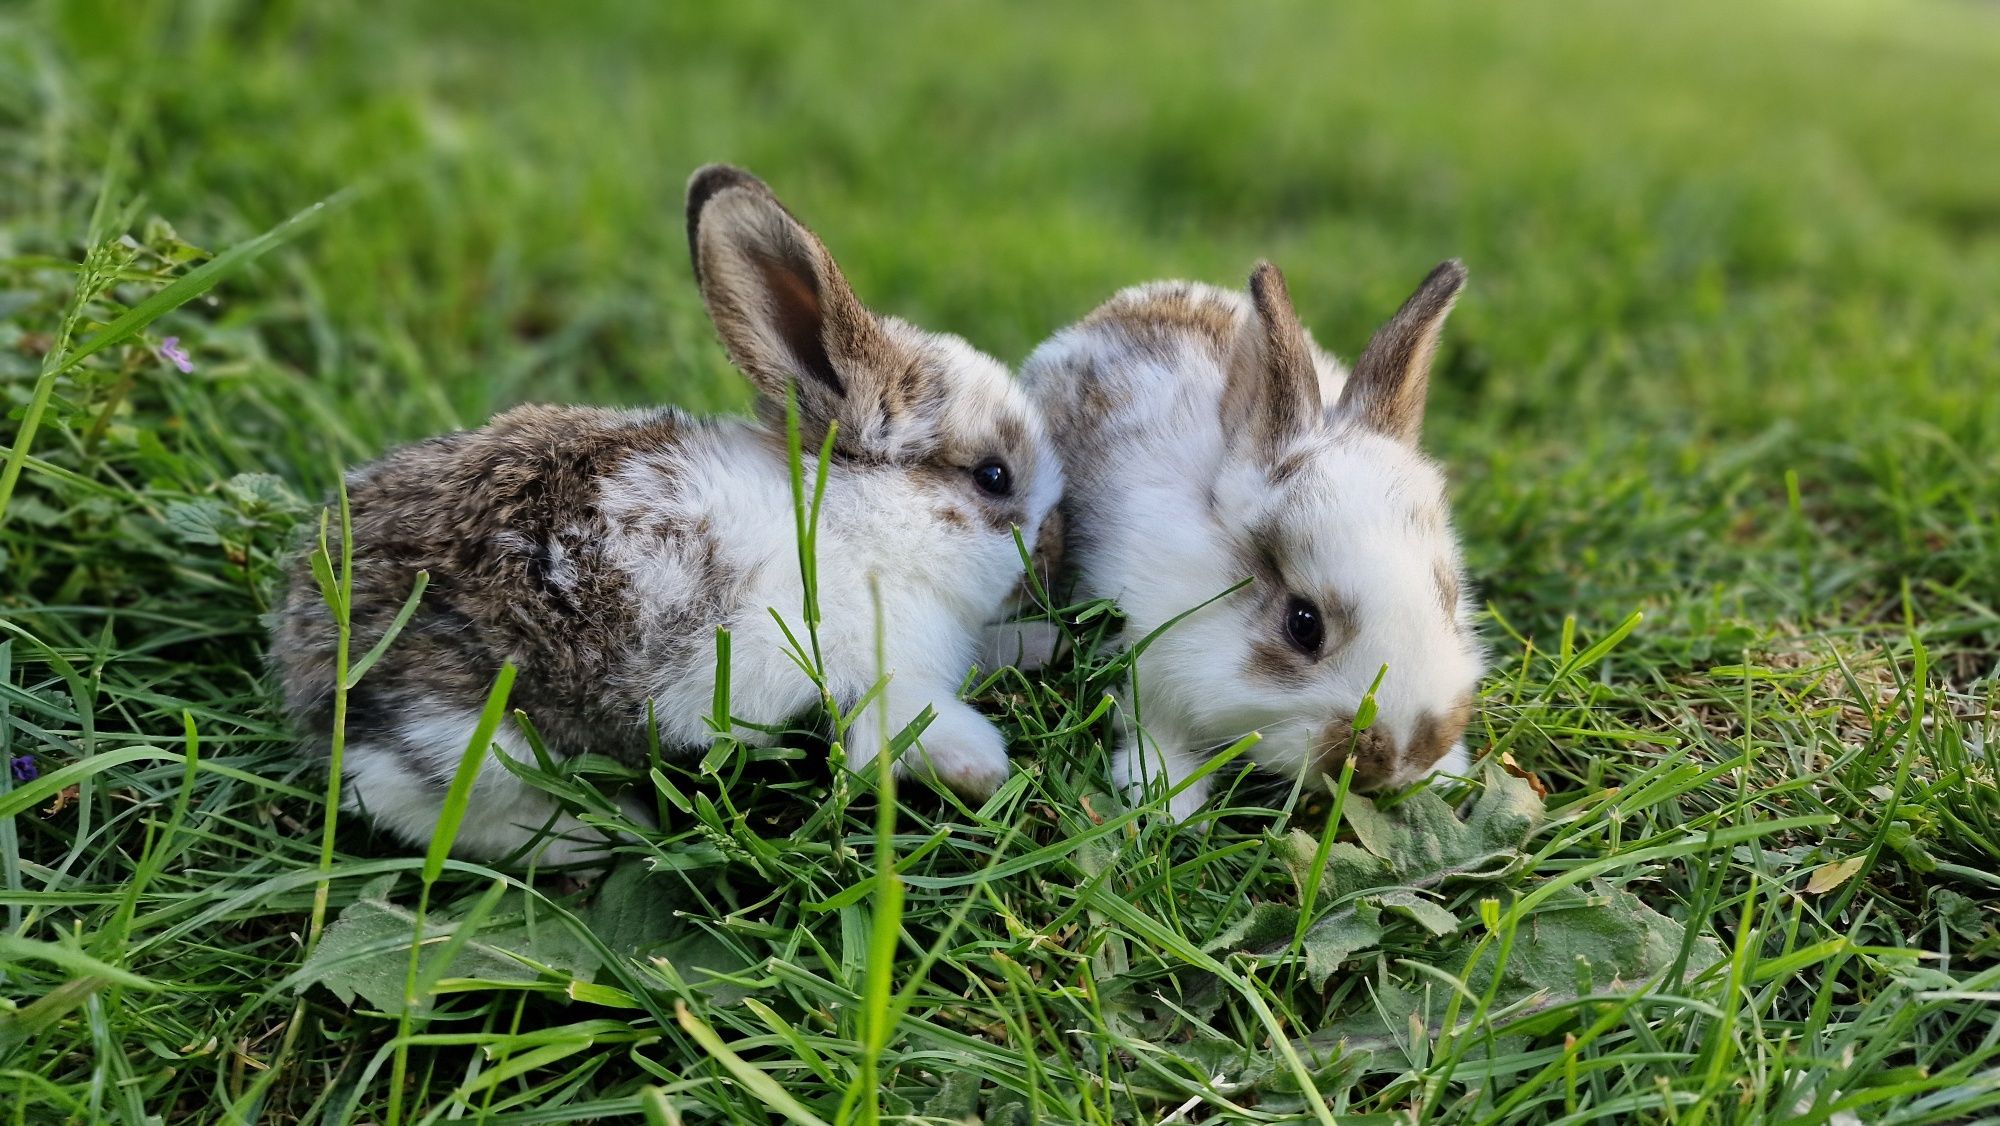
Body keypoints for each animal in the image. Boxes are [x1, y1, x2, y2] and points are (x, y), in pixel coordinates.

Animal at [278, 163, 1080, 864]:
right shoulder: (879, 682)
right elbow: (915, 729)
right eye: (994, 477)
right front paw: (990, 767)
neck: (866, 527)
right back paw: (604, 835)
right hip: (474, 743)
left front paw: (1044, 645)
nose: (1055, 554)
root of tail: (305, 659)